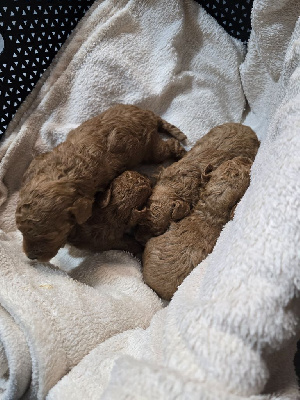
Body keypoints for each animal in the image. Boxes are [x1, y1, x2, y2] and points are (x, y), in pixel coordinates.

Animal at [16, 104, 186, 262]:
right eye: (21, 232)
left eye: (49, 236)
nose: (31, 257)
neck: (63, 174)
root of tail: (148, 114)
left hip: (150, 148)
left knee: (169, 146)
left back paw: (182, 154)